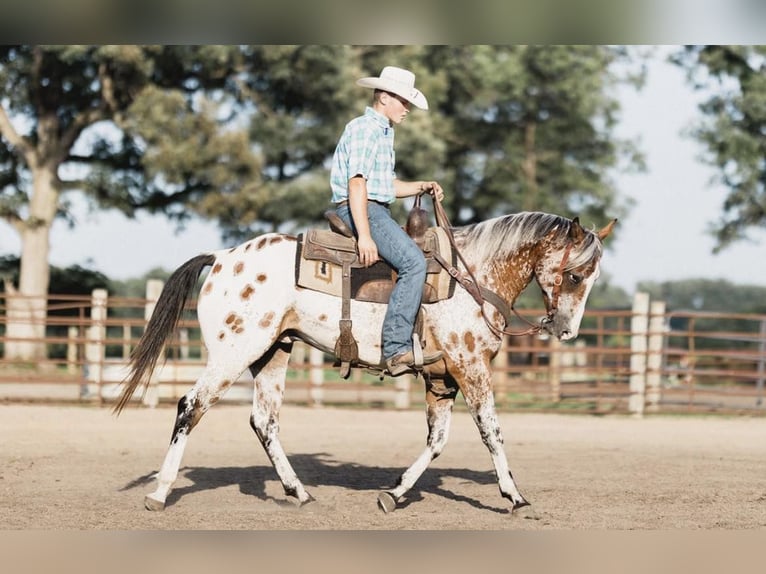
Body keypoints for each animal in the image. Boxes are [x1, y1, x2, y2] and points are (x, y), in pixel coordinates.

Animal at [114, 212, 616, 516]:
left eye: (592, 278)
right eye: (574, 275)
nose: (566, 330)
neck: (474, 277)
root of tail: (221, 259)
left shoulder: (442, 380)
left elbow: (437, 441)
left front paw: (394, 493)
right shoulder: (470, 367)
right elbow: (491, 432)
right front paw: (513, 495)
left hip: (272, 353)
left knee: (264, 421)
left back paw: (298, 492)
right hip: (233, 353)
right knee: (190, 407)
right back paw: (159, 492)